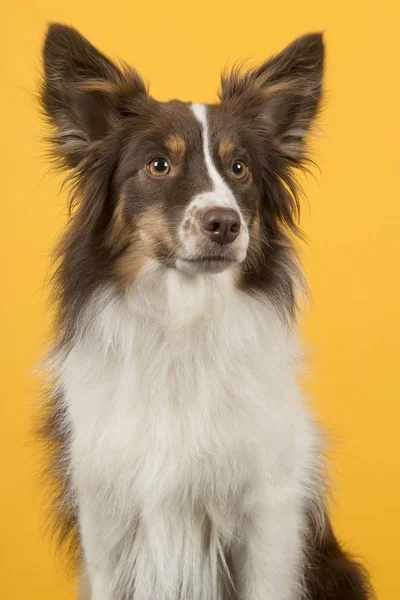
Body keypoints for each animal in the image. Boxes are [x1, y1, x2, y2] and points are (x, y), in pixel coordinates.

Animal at [39, 23, 372, 600]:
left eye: (239, 168)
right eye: (159, 165)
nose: (225, 223)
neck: (181, 321)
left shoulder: (268, 515)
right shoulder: (105, 520)